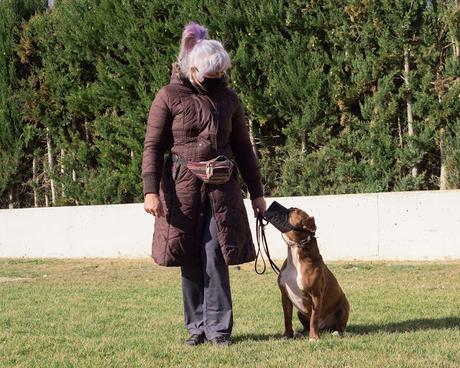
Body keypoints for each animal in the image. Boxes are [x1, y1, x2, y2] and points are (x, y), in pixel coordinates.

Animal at [276, 208, 348, 340]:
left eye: (295, 211)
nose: (289, 208)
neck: (295, 251)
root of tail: (324, 328)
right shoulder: (285, 296)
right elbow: (287, 318)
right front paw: (288, 335)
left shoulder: (316, 295)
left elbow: (314, 319)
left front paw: (314, 338)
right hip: (300, 312)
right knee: (306, 325)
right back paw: (300, 332)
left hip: (343, 308)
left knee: (339, 327)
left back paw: (336, 333)